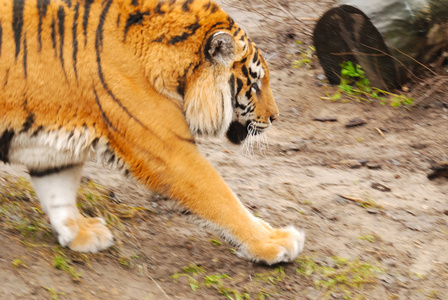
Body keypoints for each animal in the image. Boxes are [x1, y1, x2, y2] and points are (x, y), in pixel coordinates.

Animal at [0, 0, 304, 264]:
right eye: (255, 84)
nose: (275, 117)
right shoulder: (169, 150)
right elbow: (222, 198)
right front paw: (275, 241)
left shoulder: (53, 145)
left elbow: (58, 191)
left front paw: (80, 232)